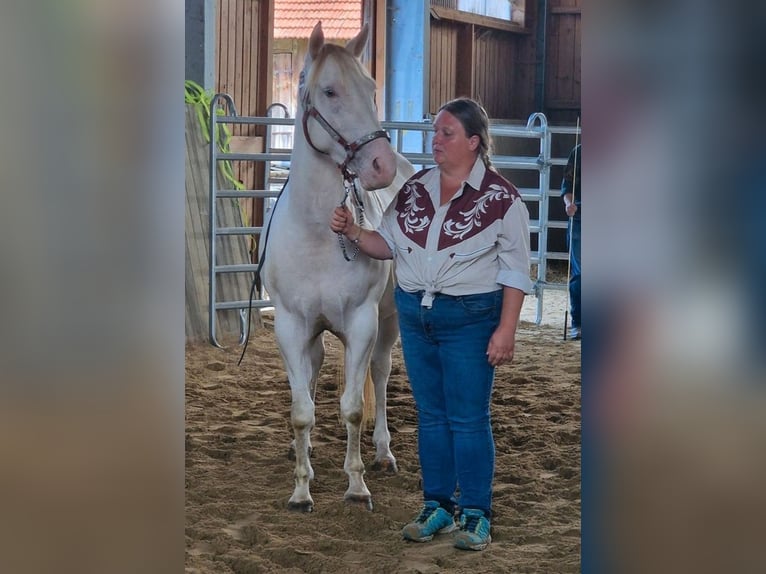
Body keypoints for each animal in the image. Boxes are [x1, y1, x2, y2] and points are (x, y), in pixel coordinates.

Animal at [259, 21, 415, 513]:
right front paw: (301, 489)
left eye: (371, 89)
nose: (380, 165)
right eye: (330, 91)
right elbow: (301, 411)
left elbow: (352, 407)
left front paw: (356, 484)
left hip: (387, 321)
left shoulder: (362, 323)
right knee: (313, 372)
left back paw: (383, 453)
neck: (316, 232)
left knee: (380, 376)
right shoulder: (290, 325)